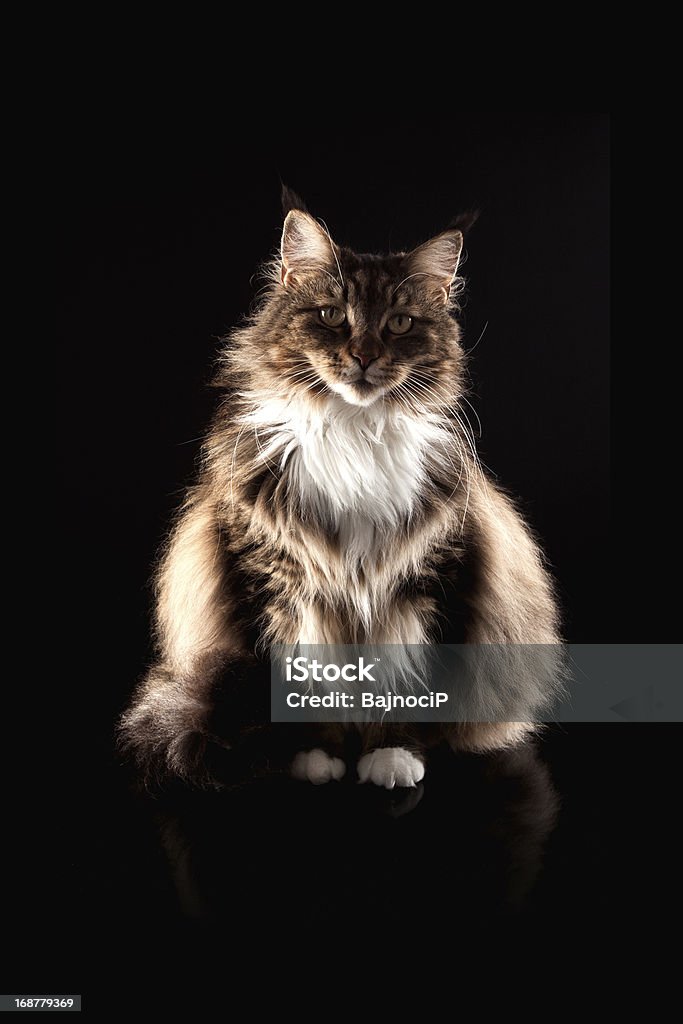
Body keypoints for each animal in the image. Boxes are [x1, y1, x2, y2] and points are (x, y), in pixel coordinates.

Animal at [118, 188, 561, 786]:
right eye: (331, 316)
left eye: (399, 323)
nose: (365, 356)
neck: (354, 432)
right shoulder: (269, 582)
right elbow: (298, 686)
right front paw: (313, 757)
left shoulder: (428, 582)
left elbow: (408, 689)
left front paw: (391, 757)